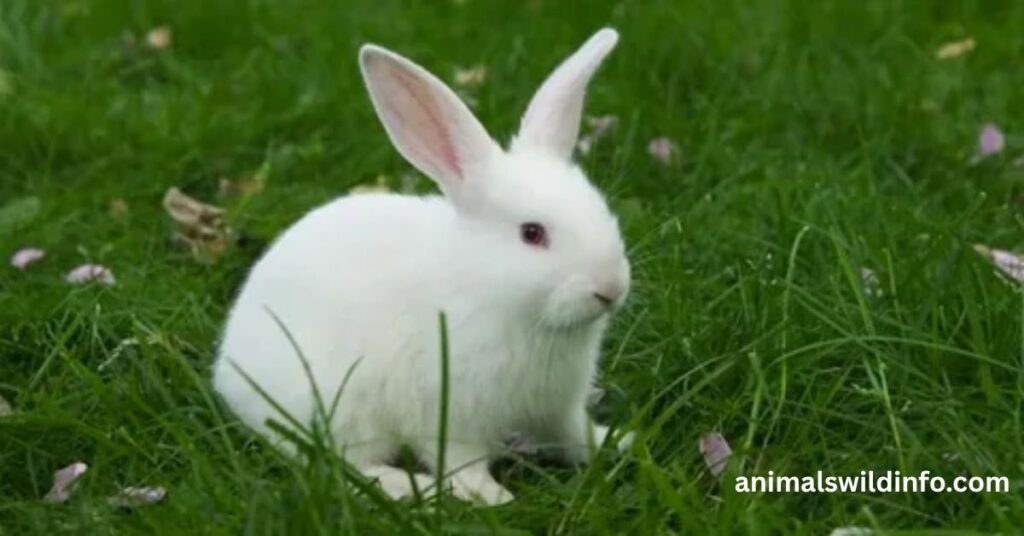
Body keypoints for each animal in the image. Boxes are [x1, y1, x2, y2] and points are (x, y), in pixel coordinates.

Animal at [213, 28, 631, 506]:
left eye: (602, 209)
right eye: (532, 233)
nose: (611, 287)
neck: (490, 291)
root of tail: (227, 371)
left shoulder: (558, 406)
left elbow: (575, 436)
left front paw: (619, 442)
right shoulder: (450, 414)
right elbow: (461, 461)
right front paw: (491, 497)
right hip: (339, 409)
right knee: (342, 466)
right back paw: (409, 487)